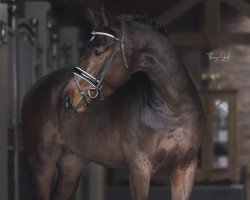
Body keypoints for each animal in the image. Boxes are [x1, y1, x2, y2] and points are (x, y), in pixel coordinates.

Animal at [22, 8, 205, 199]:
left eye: (97, 52)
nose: (67, 96)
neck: (174, 111)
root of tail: (34, 87)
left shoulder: (185, 168)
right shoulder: (139, 168)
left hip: (71, 166)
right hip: (42, 163)